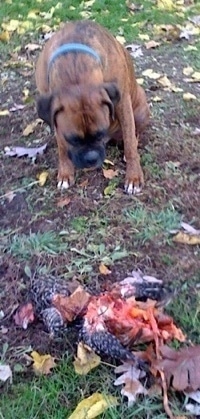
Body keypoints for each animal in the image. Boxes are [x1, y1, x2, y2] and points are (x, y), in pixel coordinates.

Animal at [35, 20, 149, 194]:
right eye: (72, 139)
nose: (91, 158)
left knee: (134, 133)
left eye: (101, 133)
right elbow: (62, 147)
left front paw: (134, 176)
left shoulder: (123, 104)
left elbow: (130, 142)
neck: (74, 67)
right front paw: (65, 173)